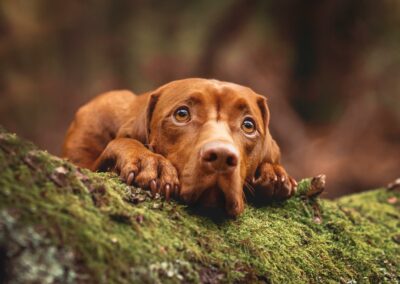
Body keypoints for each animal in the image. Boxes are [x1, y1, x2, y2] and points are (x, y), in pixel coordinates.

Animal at [62, 77, 296, 215]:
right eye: (182, 114)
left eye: (248, 125)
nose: (221, 157)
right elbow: (120, 142)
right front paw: (151, 163)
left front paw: (273, 172)